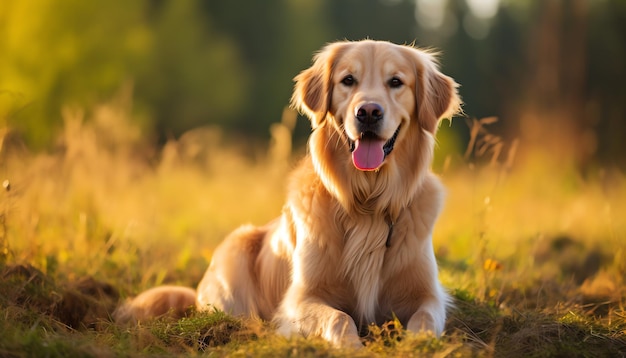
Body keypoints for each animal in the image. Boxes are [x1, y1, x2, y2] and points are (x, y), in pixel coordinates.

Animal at [114, 40, 460, 348]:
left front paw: (419, 344)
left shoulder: (429, 294)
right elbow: (340, 317)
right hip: (236, 249)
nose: (369, 112)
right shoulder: (300, 299)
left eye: (396, 82)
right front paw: (352, 347)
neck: (369, 204)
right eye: (348, 80)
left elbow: (425, 319)